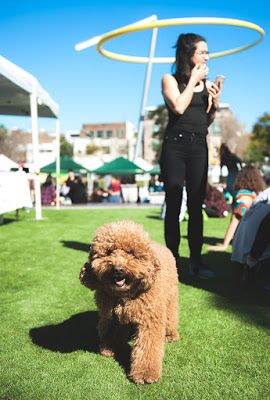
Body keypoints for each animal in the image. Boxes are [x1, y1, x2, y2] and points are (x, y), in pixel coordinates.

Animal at [80, 220, 179, 382]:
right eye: (109, 252)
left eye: (131, 253)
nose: (118, 269)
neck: (124, 295)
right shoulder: (110, 315)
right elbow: (110, 331)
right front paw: (110, 348)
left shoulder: (149, 318)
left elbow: (147, 346)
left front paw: (145, 373)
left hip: (171, 297)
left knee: (171, 316)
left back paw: (170, 335)